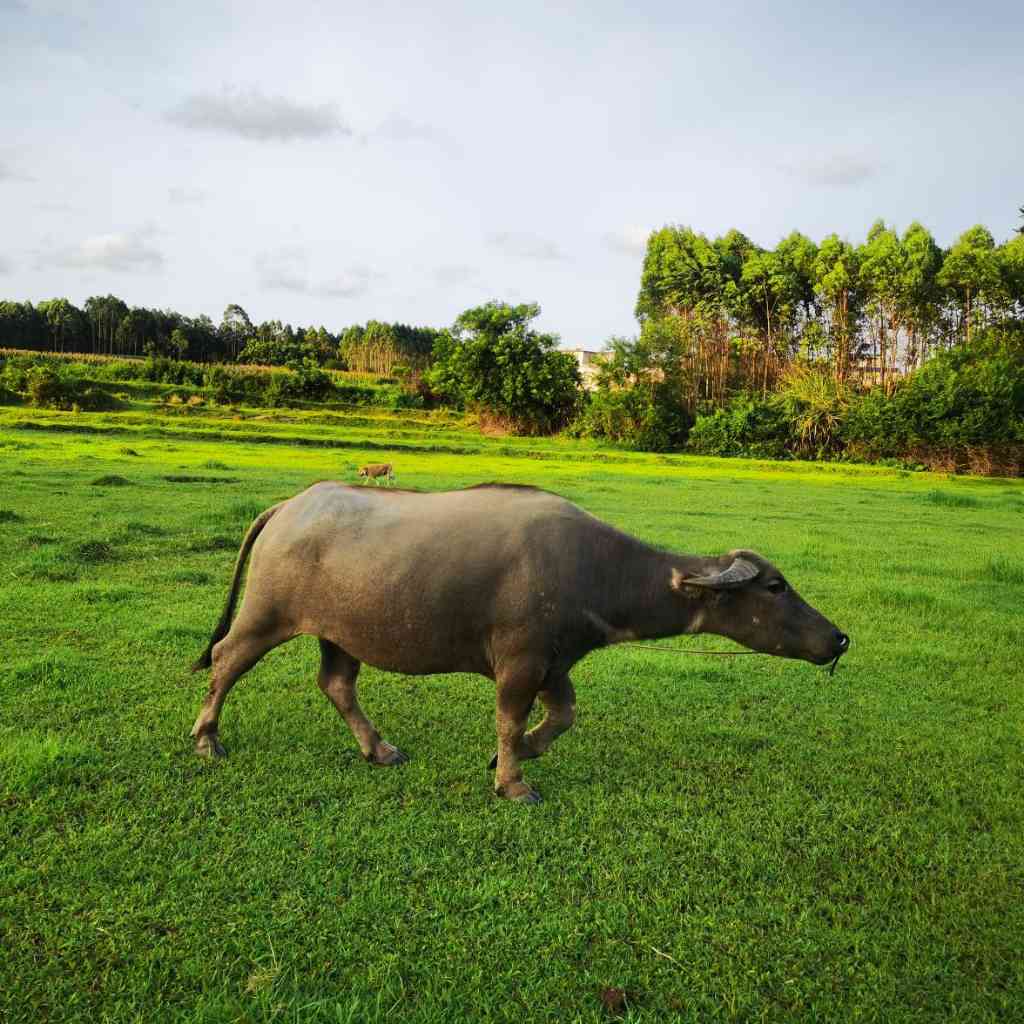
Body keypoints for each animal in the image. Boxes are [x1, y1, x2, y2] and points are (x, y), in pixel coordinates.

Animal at [192, 483, 847, 802]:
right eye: (776, 586)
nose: (839, 639)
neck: (595, 572)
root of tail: (289, 506)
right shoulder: (520, 662)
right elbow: (508, 722)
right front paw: (512, 781)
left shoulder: (555, 664)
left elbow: (563, 717)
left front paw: (524, 753)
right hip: (265, 614)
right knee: (226, 660)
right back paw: (207, 739)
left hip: (340, 632)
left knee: (336, 683)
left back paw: (379, 749)